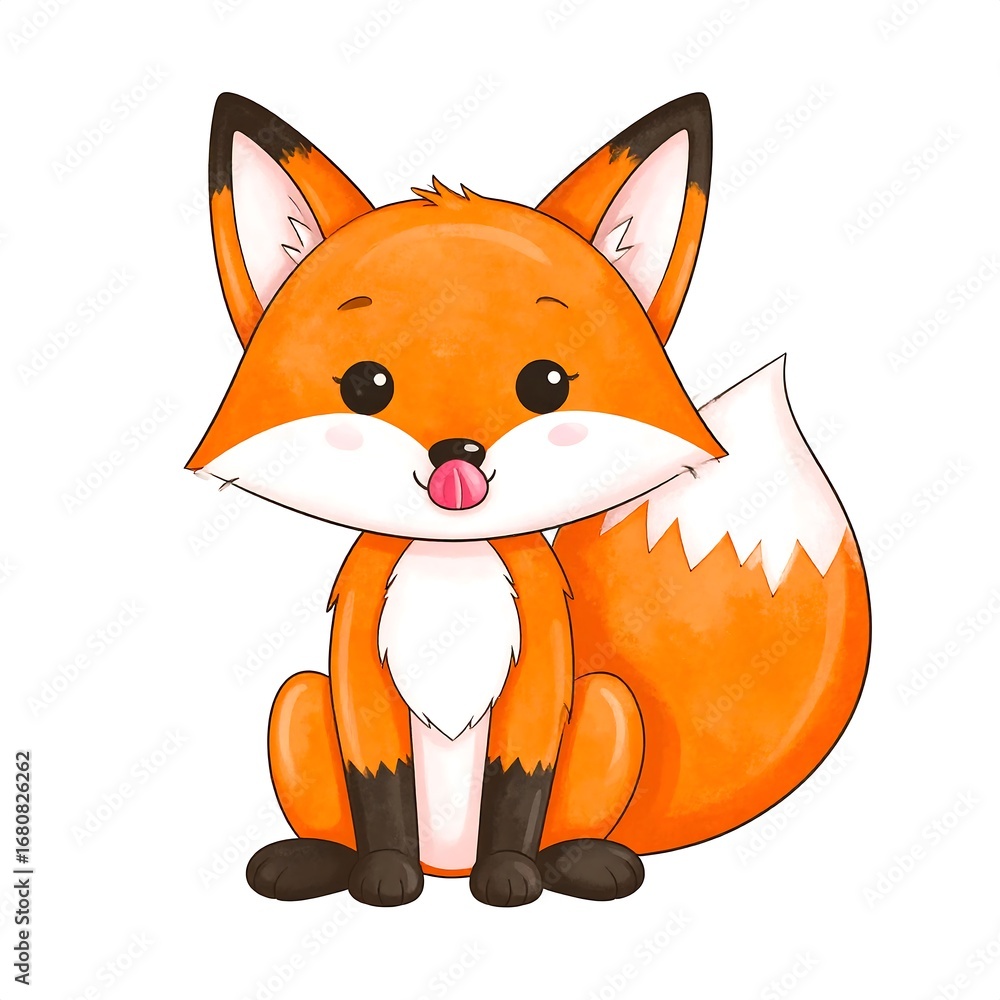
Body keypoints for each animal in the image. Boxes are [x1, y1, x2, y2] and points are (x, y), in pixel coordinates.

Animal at [187, 91, 870, 907]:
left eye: (546, 383)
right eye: (364, 385)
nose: (458, 456)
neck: (452, 565)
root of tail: (446, 864)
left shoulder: (543, 652)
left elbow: (520, 780)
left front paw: (510, 875)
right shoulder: (359, 658)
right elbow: (379, 784)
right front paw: (384, 874)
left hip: (608, 704)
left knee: (573, 815)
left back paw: (578, 860)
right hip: (295, 701)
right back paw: (318, 860)